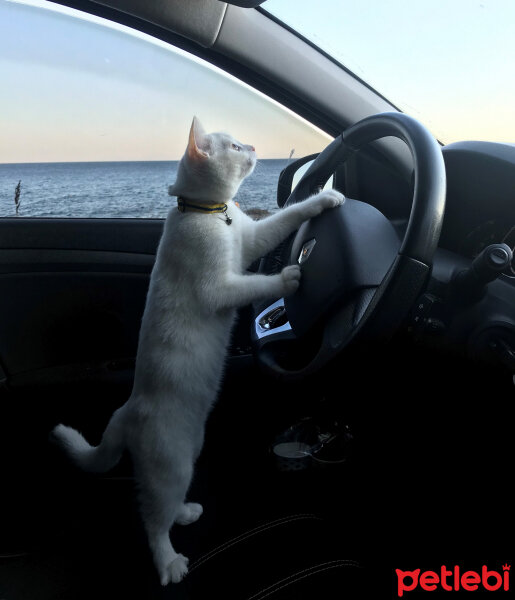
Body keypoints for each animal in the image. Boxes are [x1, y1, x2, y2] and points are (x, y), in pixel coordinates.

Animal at [51, 117, 346, 584]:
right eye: (234, 146)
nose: (255, 145)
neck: (209, 214)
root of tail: (128, 411)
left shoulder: (252, 238)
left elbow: (286, 218)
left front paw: (325, 199)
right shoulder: (219, 287)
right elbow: (254, 285)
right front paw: (287, 279)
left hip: (192, 448)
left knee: (165, 506)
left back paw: (186, 512)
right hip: (170, 466)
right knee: (152, 518)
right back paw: (169, 561)